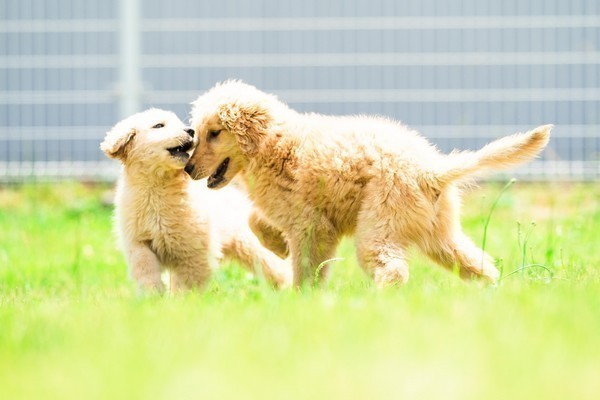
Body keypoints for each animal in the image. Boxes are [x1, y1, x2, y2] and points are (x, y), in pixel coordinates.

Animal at [101, 108, 292, 292]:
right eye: (158, 126)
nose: (190, 131)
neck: (157, 189)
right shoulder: (139, 241)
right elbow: (145, 268)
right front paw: (152, 295)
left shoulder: (192, 249)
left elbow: (186, 282)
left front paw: (183, 300)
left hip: (248, 244)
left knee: (275, 266)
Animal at [185, 80, 552, 288]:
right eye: (197, 133)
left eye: (214, 133)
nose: (187, 168)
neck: (272, 145)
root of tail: (430, 170)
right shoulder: (298, 214)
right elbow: (255, 219)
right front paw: (277, 245)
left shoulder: (312, 225)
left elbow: (305, 269)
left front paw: (302, 301)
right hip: (439, 235)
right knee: (479, 264)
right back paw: (492, 294)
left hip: (379, 227)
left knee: (394, 270)